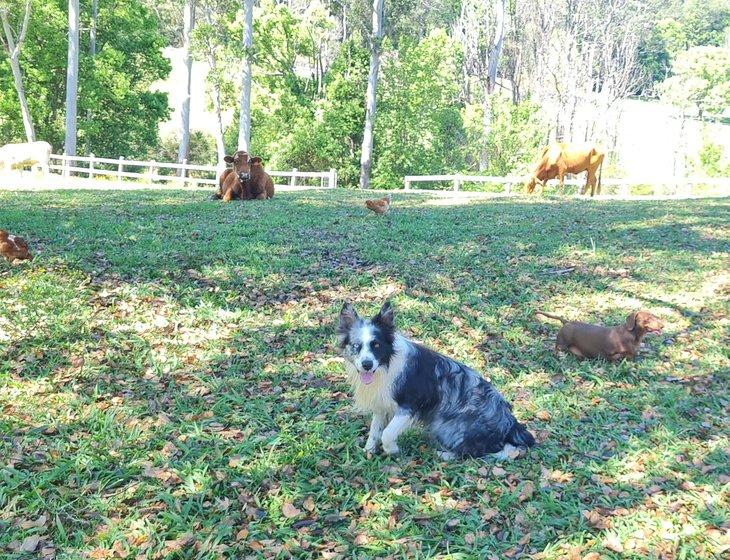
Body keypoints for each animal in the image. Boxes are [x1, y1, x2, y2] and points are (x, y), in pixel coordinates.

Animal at [336, 302, 536, 460]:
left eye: (376, 345)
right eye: (356, 346)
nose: (367, 364)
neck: (387, 363)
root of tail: (510, 422)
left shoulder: (410, 405)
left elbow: (387, 433)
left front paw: (392, 449)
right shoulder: (381, 403)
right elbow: (375, 430)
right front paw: (369, 450)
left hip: (446, 425)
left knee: (480, 451)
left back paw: (444, 454)